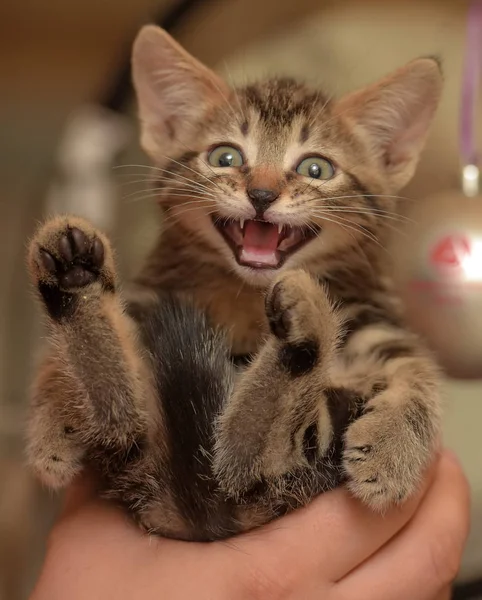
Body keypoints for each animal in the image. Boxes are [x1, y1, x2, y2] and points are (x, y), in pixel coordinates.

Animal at [26, 25, 442, 540]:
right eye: (225, 157)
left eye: (316, 169)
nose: (261, 193)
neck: (248, 295)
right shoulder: (153, 296)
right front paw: (53, 417)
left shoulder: (377, 322)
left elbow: (417, 374)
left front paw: (391, 450)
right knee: (153, 432)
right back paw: (74, 278)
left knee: (242, 463)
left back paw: (303, 331)